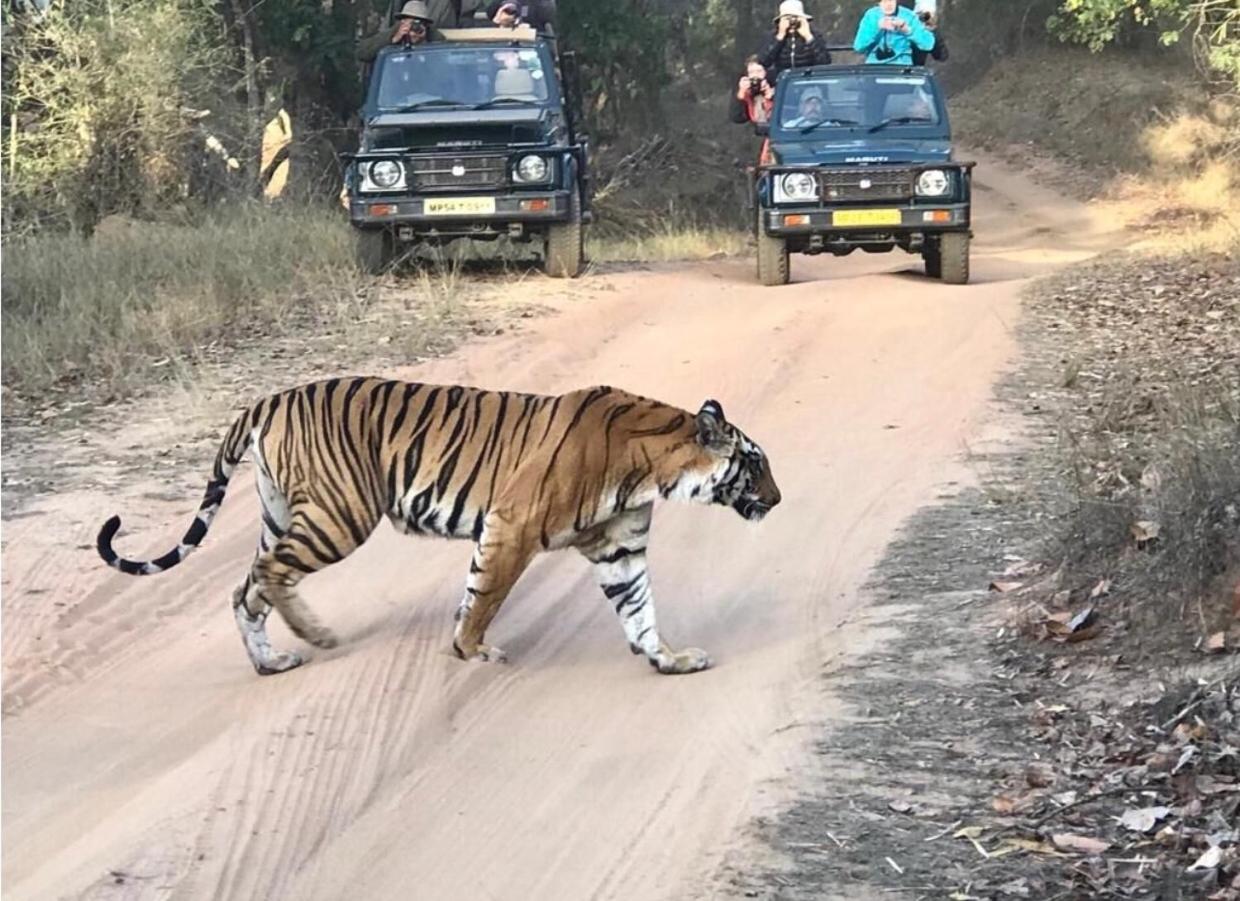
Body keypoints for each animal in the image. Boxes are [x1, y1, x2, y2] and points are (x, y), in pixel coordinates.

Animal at [96, 378, 781, 676]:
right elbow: (486, 596)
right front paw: (471, 649)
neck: (657, 468)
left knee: (248, 587)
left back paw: (273, 660)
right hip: (339, 515)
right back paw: (316, 636)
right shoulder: (513, 525)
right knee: (265, 575)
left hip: (280, 514)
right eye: (755, 463)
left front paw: (667, 658)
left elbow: (639, 607)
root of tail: (270, 397)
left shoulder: (620, 547)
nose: (777, 500)